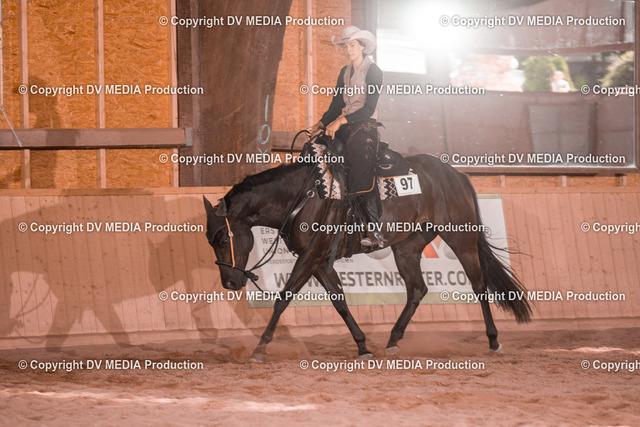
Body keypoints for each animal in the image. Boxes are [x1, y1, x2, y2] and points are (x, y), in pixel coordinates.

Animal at [204, 153, 531, 361]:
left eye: (221, 238)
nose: (230, 282)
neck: (303, 198)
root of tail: (455, 173)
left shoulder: (310, 257)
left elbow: (284, 297)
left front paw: (260, 348)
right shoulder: (319, 261)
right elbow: (339, 301)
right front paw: (362, 347)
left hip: (461, 239)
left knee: (479, 286)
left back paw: (493, 340)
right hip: (406, 248)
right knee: (417, 289)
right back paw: (393, 341)